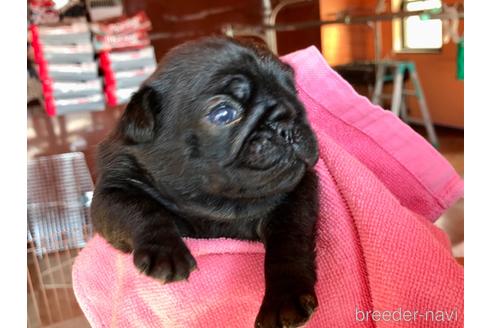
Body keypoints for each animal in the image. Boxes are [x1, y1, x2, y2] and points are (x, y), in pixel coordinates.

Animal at [92, 36, 320, 328]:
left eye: (294, 91)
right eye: (223, 114)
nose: (287, 121)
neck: (214, 203)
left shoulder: (297, 192)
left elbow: (289, 239)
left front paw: (284, 297)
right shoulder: (112, 190)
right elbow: (140, 209)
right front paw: (165, 250)